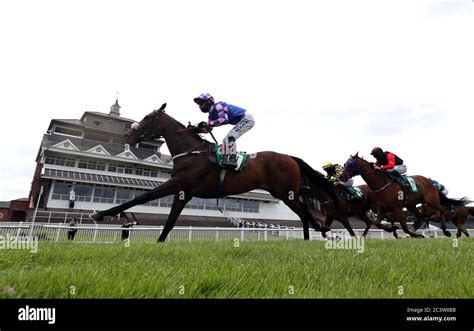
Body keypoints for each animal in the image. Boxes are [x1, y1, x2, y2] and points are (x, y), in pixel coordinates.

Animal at [90, 104, 340, 241]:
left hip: (285, 193)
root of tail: (291, 157)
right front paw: (159, 243)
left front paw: (100, 214)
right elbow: (169, 223)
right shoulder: (183, 192)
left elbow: (142, 197)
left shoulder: (176, 183)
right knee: (304, 215)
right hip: (287, 194)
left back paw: (318, 234)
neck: (191, 152)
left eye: (149, 118)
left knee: (305, 214)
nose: (129, 136)